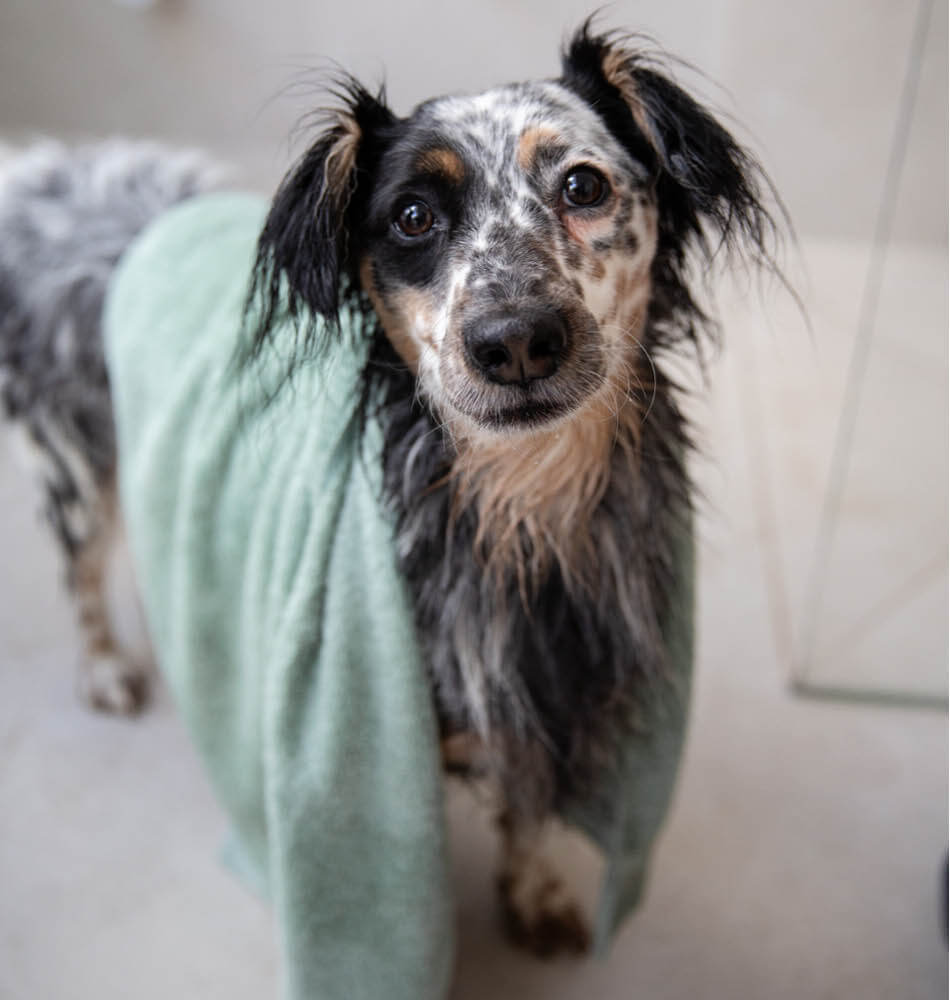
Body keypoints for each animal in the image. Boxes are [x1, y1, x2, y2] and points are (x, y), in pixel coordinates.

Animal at [0, 23, 780, 960]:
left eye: (583, 186)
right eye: (413, 216)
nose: (516, 341)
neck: (523, 512)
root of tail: (67, 181)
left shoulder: (548, 702)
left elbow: (526, 815)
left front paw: (534, 893)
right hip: (79, 470)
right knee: (81, 575)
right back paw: (107, 669)